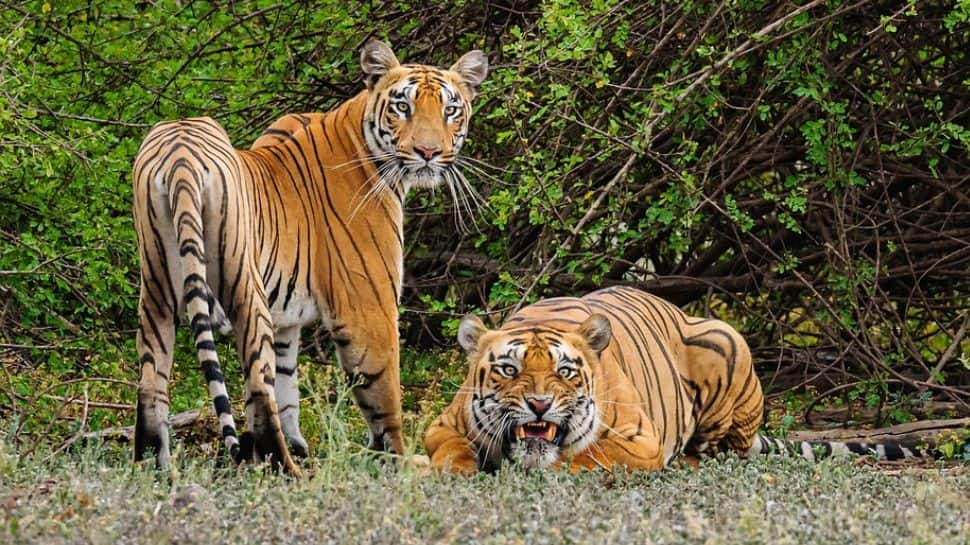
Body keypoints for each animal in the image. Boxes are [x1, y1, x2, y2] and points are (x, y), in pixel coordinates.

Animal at [132, 39, 488, 472]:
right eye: (403, 106)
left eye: (450, 109)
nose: (428, 152)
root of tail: (179, 153)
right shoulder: (368, 307)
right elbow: (383, 391)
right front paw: (399, 460)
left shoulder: (287, 320)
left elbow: (288, 386)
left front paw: (300, 444)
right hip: (243, 287)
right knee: (257, 389)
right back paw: (287, 469)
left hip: (156, 288)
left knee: (152, 383)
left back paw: (154, 467)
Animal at [428, 284, 928, 472]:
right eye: (509, 370)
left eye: (565, 372)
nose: (538, 405)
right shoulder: (442, 426)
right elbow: (451, 451)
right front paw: (456, 471)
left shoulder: (638, 442)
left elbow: (583, 459)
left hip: (725, 340)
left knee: (722, 449)